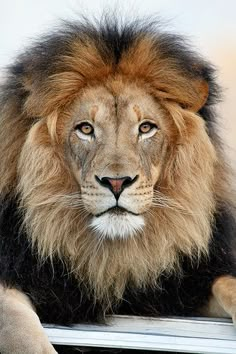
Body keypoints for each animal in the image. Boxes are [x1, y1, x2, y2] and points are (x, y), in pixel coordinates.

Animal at [0, 15, 235, 354]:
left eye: (146, 128)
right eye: (85, 129)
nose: (116, 181)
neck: (114, 257)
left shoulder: (183, 286)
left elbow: (227, 282)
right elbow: (21, 329)